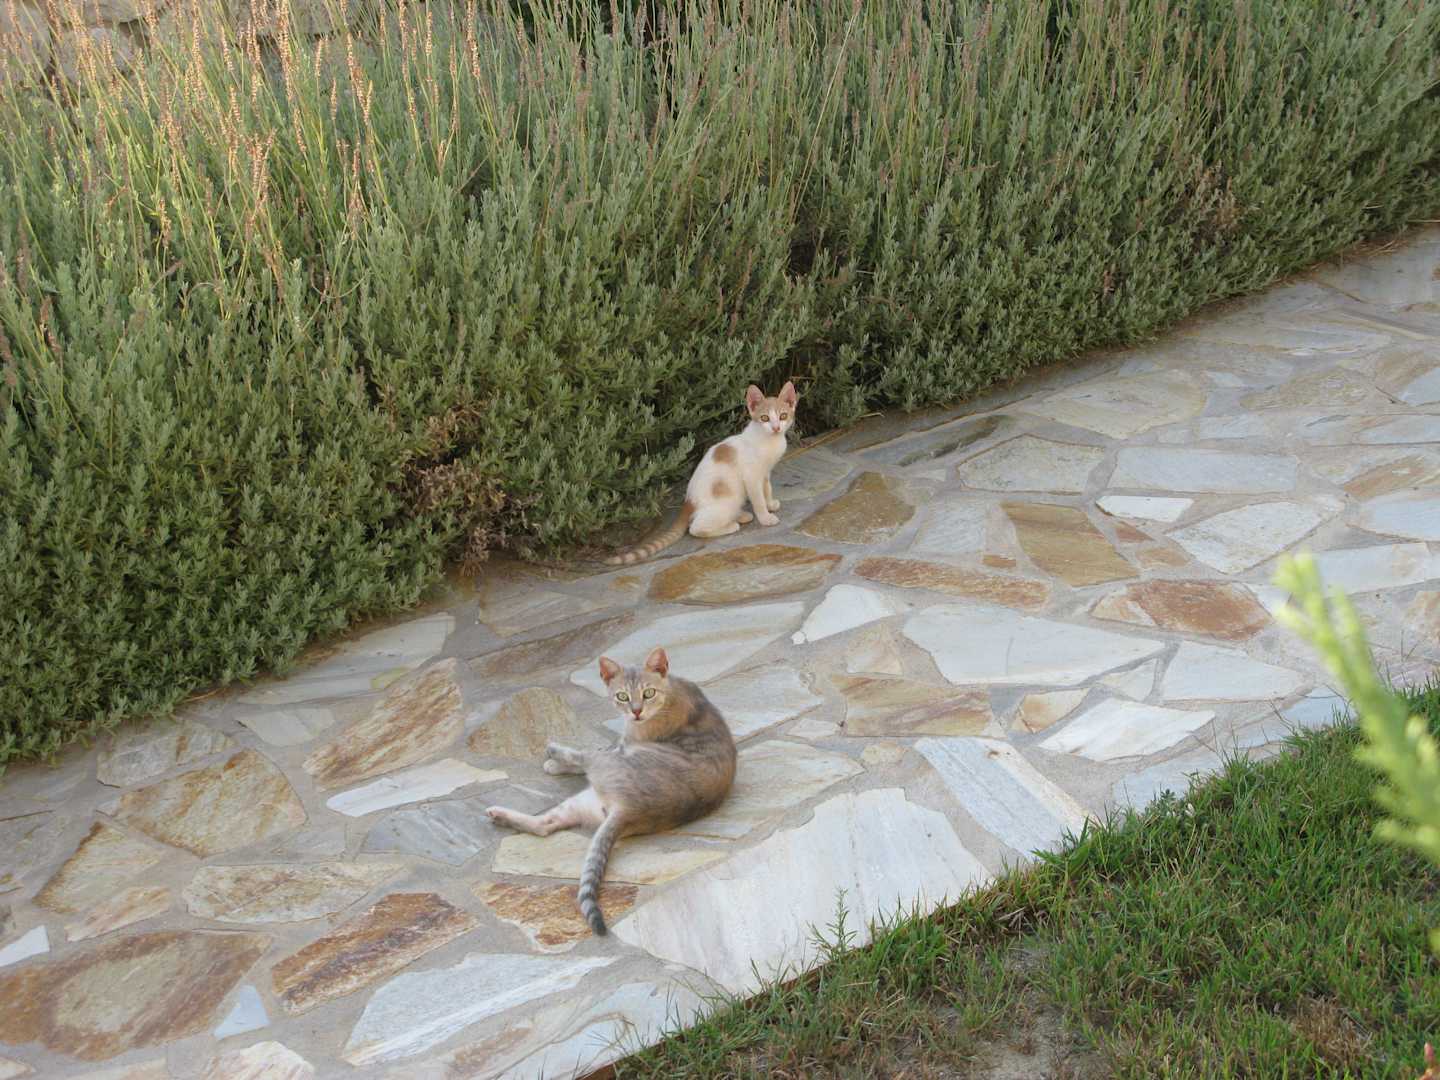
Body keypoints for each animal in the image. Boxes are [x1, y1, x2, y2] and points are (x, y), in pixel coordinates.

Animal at [485, 647, 737, 936]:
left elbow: (592, 751)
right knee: (544, 826)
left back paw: (553, 751)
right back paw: (500, 814)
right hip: (582, 801)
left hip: (609, 763)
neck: (671, 690)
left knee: (583, 760)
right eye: (622, 696)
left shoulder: (623, 744)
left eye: (648, 693)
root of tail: (629, 810)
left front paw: (553, 762)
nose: (636, 712)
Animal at [605, 381, 798, 564]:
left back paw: (741, 515)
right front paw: (766, 517)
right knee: (695, 528)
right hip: (726, 501)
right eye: (764, 418)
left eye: (783, 416)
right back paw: (731, 525)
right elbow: (758, 499)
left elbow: (767, 489)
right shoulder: (751, 476)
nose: (776, 428)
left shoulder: (764, 472)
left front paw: (770, 504)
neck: (768, 440)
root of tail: (688, 501)